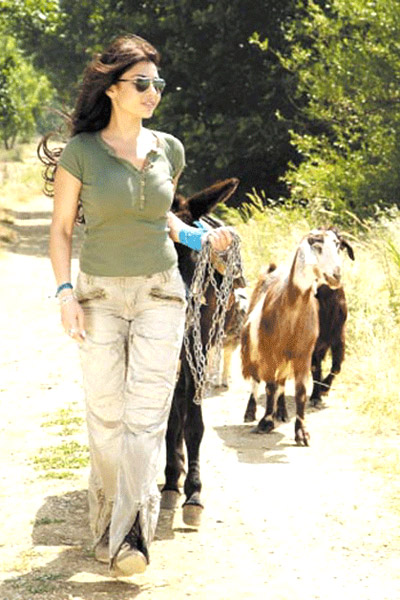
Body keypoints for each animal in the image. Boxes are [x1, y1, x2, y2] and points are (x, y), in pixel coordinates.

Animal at [241, 229, 343, 446]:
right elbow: (269, 387)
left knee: (280, 383)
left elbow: (300, 391)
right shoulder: (268, 353)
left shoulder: (303, 355)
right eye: (317, 244)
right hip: (254, 349)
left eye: (338, 244)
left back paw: (282, 412)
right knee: (257, 381)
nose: (336, 275)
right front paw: (265, 422)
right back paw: (251, 412)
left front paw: (301, 432)